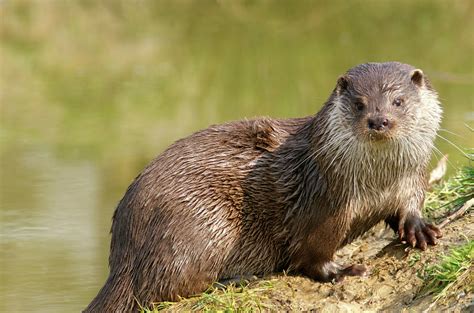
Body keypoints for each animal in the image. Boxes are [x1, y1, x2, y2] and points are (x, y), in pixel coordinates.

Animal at [84, 62, 440, 310]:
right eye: (360, 104)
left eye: (398, 101)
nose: (379, 120)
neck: (376, 184)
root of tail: (123, 252)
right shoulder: (323, 203)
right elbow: (311, 254)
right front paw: (343, 270)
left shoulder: (411, 177)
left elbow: (409, 204)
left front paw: (419, 228)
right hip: (203, 223)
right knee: (164, 288)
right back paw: (235, 280)